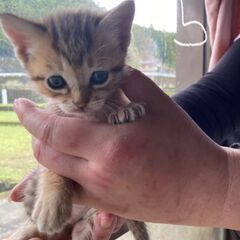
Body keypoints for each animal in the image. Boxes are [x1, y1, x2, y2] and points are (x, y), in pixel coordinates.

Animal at [0, 0, 148, 239]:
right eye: (56, 81)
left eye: (100, 76)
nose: (81, 103)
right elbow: (53, 167)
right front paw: (52, 202)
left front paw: (125, 107)